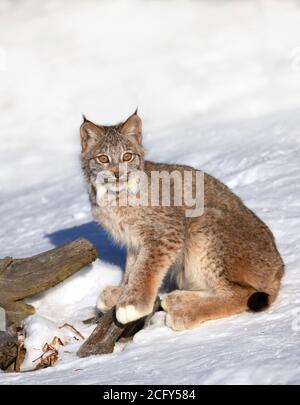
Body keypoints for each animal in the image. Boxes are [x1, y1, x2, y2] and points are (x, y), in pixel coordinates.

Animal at [80, 109, 284, 328]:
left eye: (127, 156)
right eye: (103, 159)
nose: (118, 174)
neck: (113, 196)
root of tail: (280, 266)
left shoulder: (167, 231)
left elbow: (146, 267)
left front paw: (132, 304)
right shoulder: (134, 239)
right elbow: (133, 268)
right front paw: (121, 293)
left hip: (202, 222)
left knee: (241, 292)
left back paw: (186, 312)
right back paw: (178, 299)